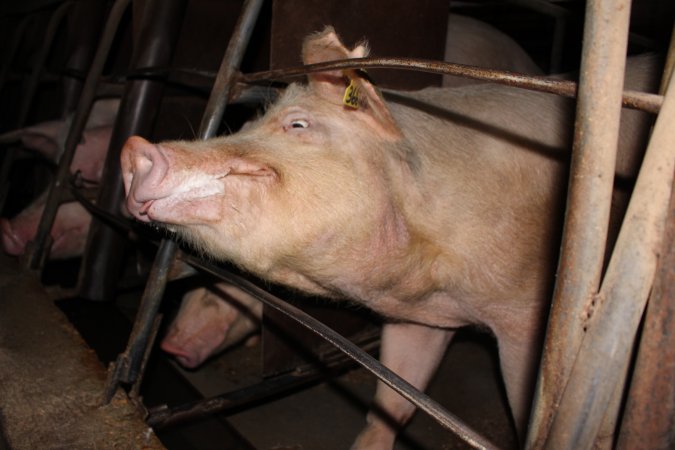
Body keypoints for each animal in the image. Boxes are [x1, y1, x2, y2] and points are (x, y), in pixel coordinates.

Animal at [120, 27, 656, 450]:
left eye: (298, 124)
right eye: (248, 124)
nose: (134, 148)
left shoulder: (526, 319)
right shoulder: (422, 319)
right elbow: (396, 400)